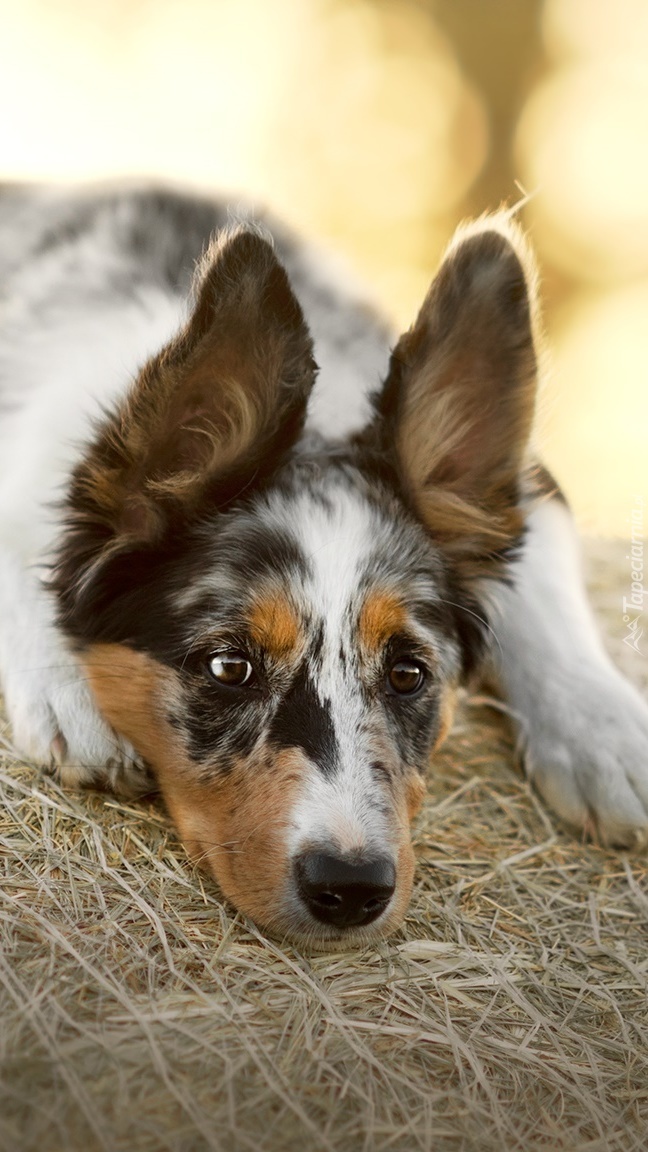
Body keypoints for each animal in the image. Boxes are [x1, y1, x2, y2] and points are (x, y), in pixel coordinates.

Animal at [0, 186, 641, 944]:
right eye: (228, 666)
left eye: (408, 674)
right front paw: (62, 688)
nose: (351, 888)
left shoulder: (536, 492)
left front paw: (608, 738)